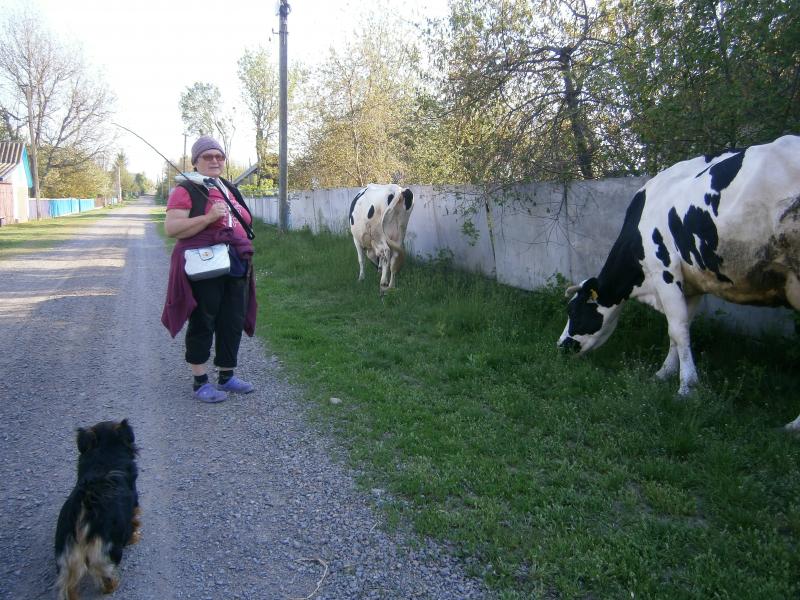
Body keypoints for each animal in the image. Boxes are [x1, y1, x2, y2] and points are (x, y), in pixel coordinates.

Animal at [54, 420, 141, 596]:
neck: (104, 456)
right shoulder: (133, 503)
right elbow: (134, 519)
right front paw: (135, 535)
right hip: (106, 551)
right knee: (104, 574)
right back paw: (111, 587)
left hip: (67, 558)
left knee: (68, 586)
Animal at [556, 134, 800, 428]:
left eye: (574, 310)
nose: (560, 347)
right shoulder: (691, 286)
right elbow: (679, 329)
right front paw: (664, 374)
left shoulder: (665, 272)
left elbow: (678, 330)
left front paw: (685, 388)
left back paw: (793, 425)